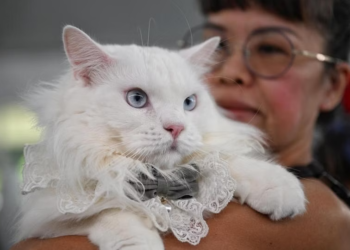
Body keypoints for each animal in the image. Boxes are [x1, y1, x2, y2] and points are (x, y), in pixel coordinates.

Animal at [15, 25, 306, 250]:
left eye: (189, 103)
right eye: (137, 99)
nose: (176, 127)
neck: (162, 181)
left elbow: (227, 162)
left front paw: (279, 188)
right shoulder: (48, 217)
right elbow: (112, 209)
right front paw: (139, 242)